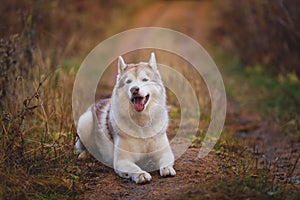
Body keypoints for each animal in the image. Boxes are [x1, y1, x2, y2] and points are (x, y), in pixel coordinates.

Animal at [74, 52, 176, 184]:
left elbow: (165, 160)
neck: (141, 123)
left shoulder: (164, 152)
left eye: (145, 80)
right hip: (85, 122)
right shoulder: (122, 161)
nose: (134, 89)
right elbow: (134, 168)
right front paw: (141, 174)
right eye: (128, 82)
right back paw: (85, 155)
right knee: (83, 147)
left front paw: (167, 169)